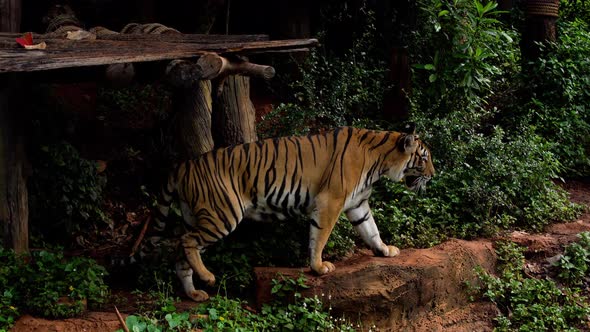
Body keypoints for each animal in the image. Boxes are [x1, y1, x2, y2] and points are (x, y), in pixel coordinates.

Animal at [153, 124, 434, 300]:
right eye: (423, 158)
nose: (433, 175)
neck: (380, 161)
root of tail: (183, 166)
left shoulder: (358, 204)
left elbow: (371, 229)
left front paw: (385, 250)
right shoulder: (330, 201)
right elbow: (319, 236)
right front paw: (319, 267)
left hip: (196, 215)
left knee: (180, 254)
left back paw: (194, 294)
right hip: (222, 214)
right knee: (186, 241)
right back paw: (208, 278)